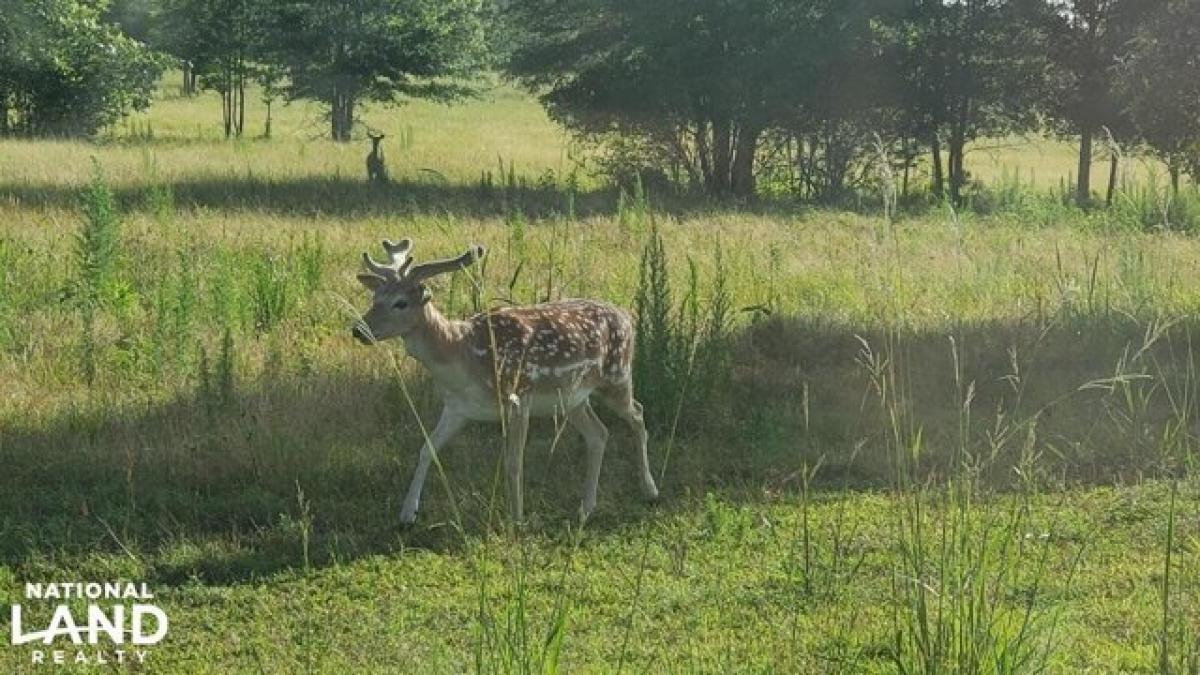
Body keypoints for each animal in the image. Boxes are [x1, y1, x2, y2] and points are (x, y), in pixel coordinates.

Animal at [350, 239, 662, 523]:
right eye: (374, 298)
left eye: (400, 303)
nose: (358, 330)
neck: (463, 357)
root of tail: (627, 317)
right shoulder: (457, 407)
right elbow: (426, 449)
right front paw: (407, 513)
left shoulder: (518, 397)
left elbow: (513, 463)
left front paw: (517, 519)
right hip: (572, 399)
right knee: (599, 434)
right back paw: (585, 508)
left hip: (617, 376)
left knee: (638, 413)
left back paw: (650, 491)